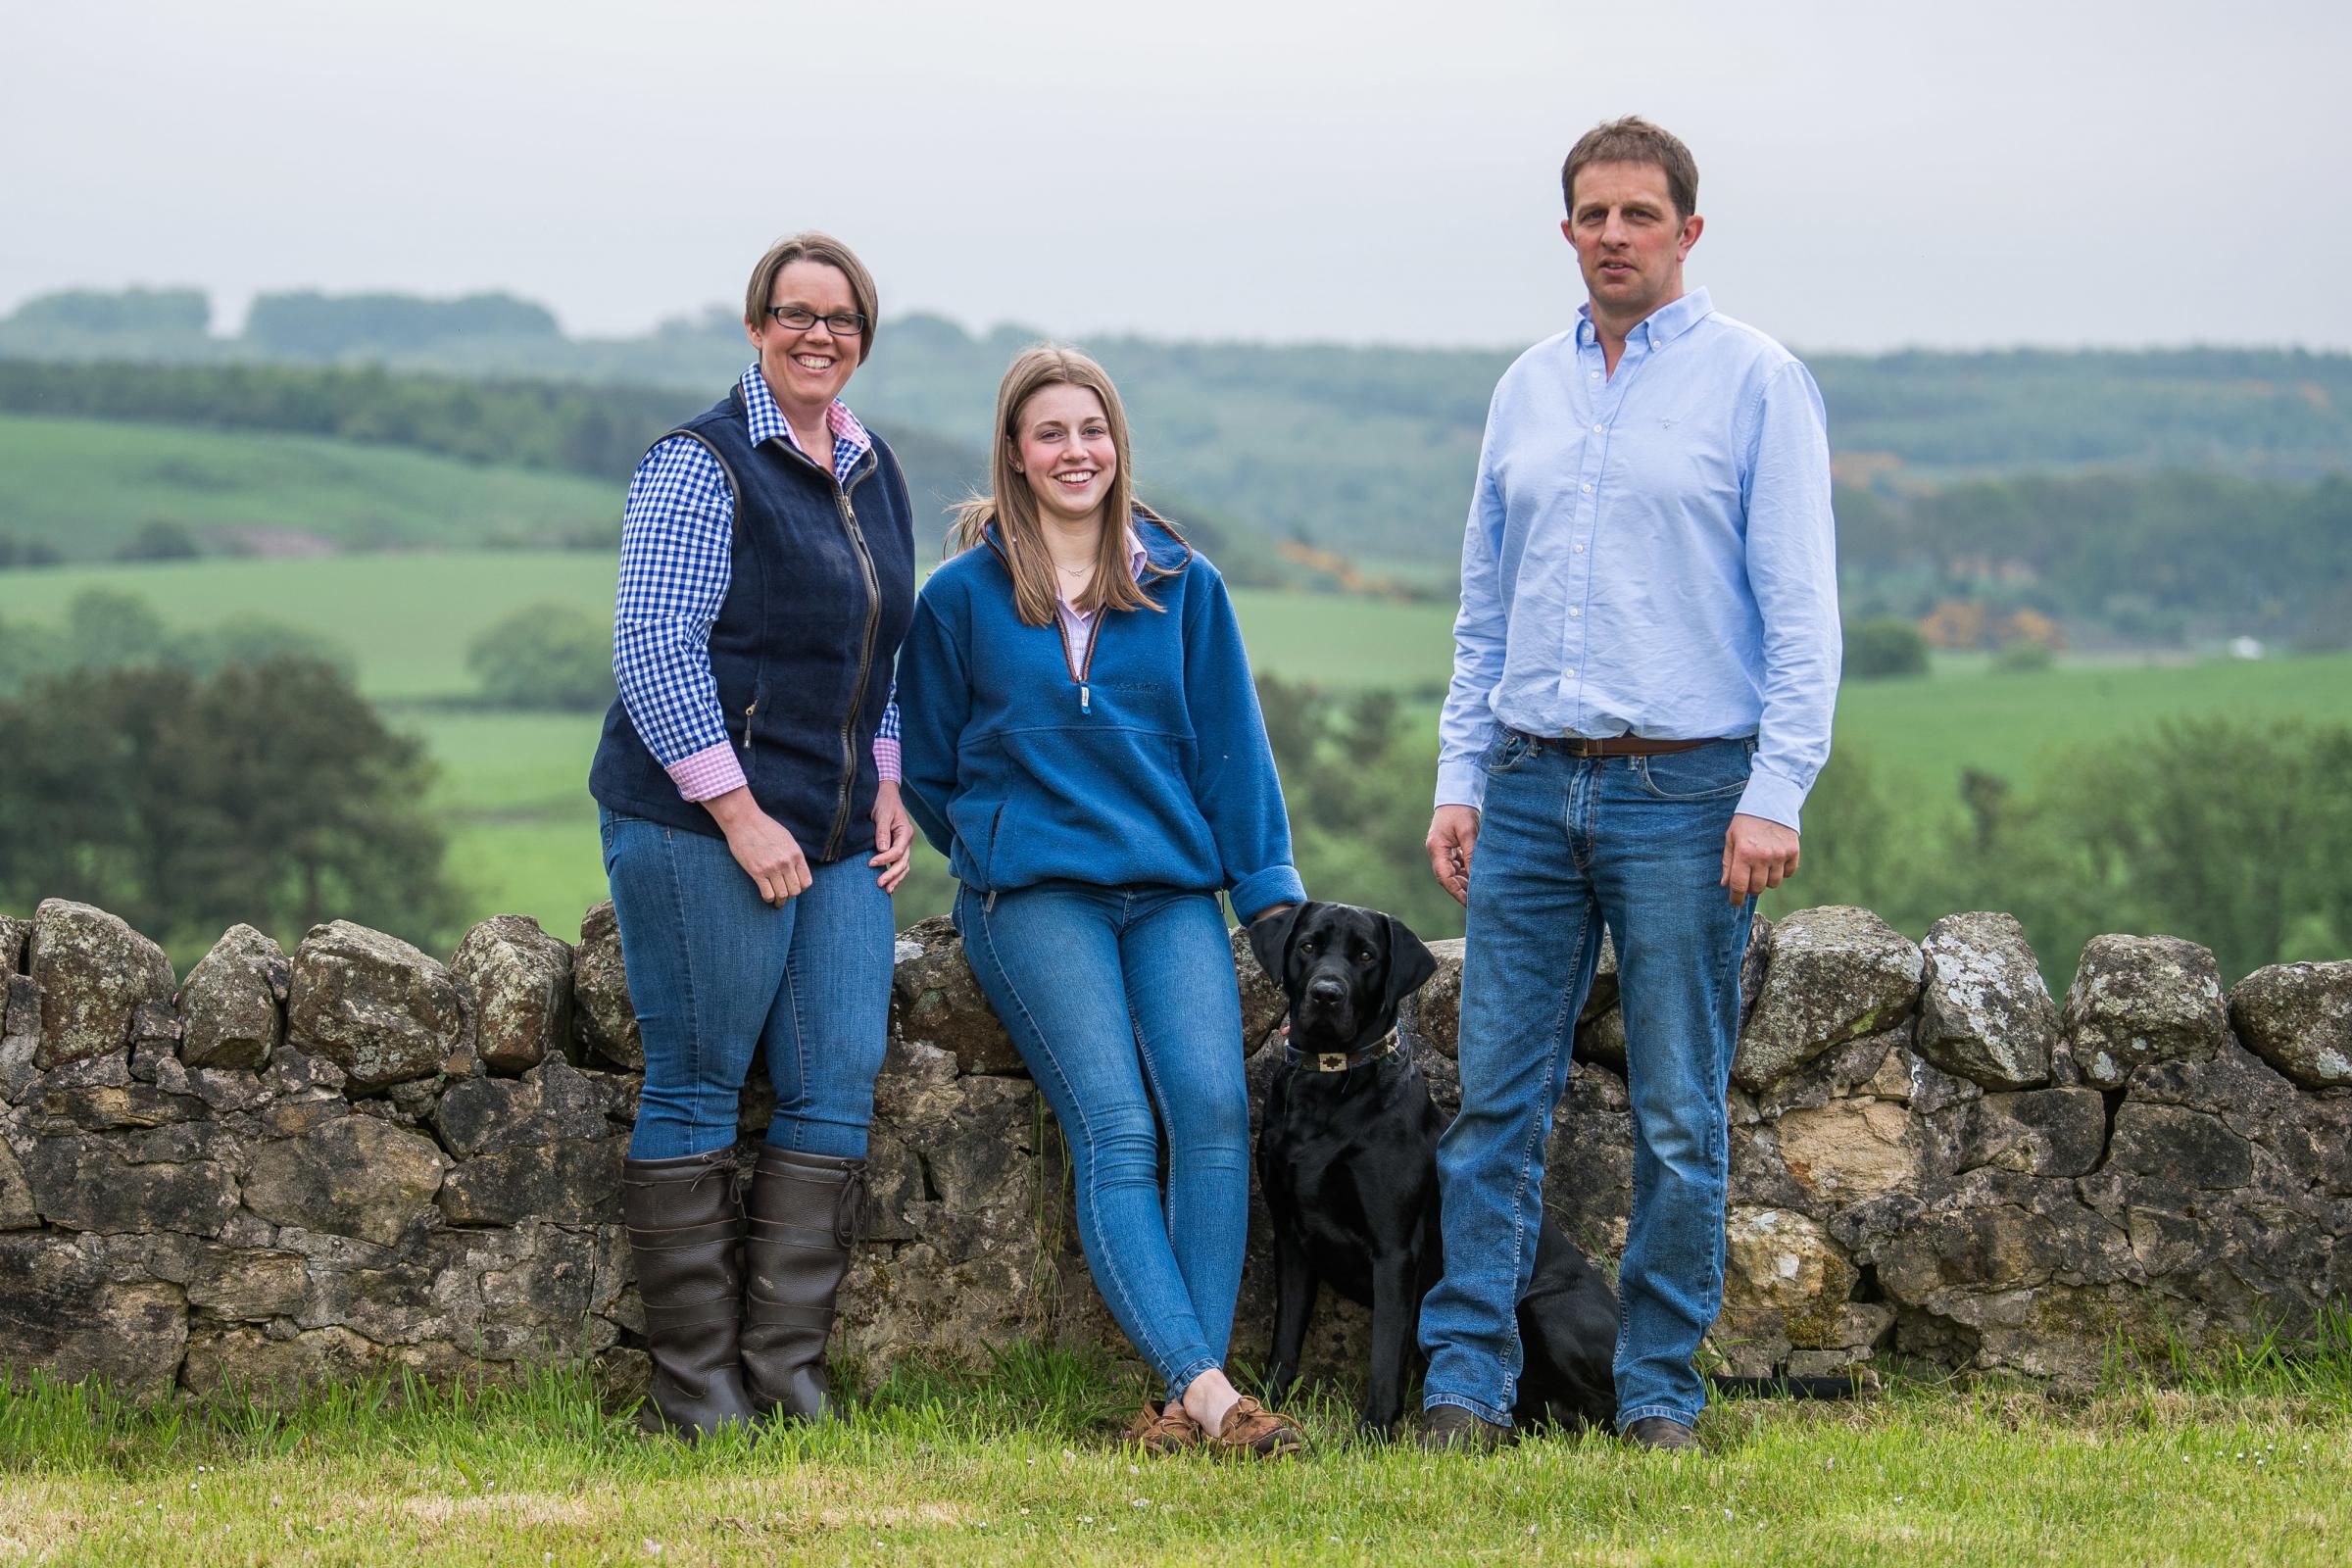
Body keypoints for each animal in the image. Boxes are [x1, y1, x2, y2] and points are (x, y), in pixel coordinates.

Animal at [1250, 903, 1853, 1439]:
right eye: (1309, 946)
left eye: (1366, 955)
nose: (1326, 994)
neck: (1331, 1089)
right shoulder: (1292, 1238)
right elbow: (1285, 1341)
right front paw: (1268, 1409)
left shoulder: (1395, 1251)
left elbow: (1382, 1358)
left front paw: (1372, 1433)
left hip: (1543, 1309)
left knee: (1604, 1404)